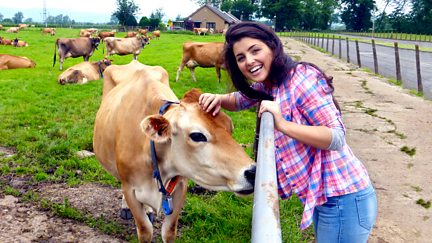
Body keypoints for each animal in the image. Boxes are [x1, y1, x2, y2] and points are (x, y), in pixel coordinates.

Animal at [93, 63, 256, 242]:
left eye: (230, 128)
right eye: (197, 135)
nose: (253, 172)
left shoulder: (180, 186)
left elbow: (169, 231)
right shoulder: (129, 188)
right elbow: (145, 230)